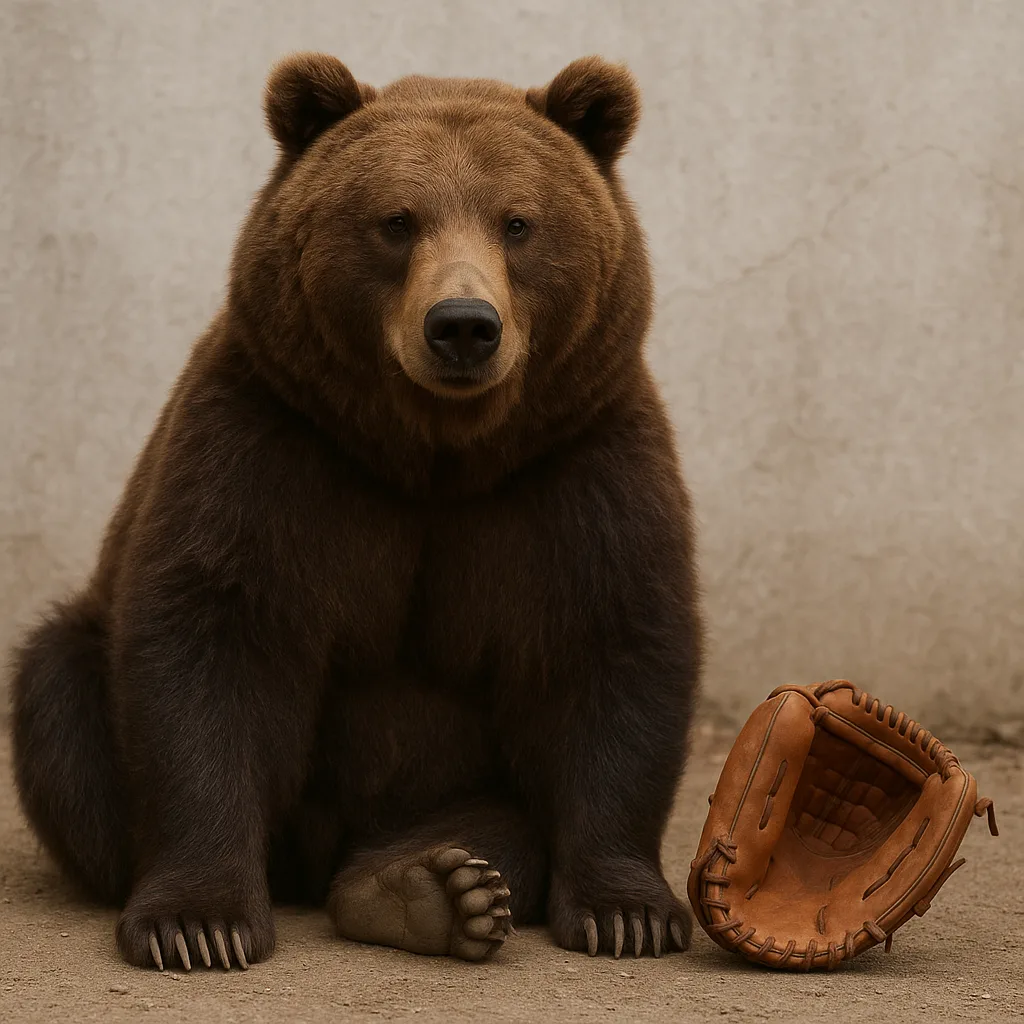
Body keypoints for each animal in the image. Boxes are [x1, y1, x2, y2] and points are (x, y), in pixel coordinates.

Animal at [9, 52, 703, 971]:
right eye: (397, 221)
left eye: (518, 222)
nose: (463, 325)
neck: (435, 455)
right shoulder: (274, 445)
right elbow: (213, 642)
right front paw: (197, 924)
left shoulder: (577, 463)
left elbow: (613, 643)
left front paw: (627, 914)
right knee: (58, 693)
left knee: (497, 820)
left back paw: (430, 885)